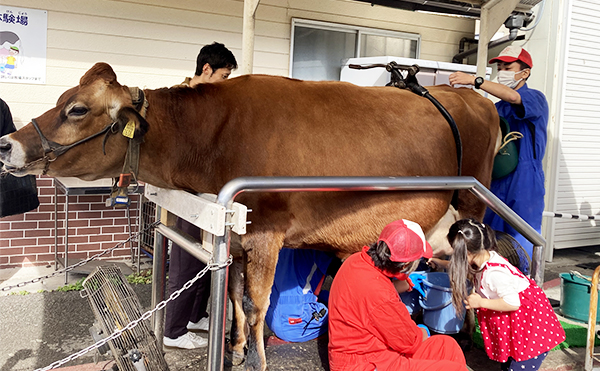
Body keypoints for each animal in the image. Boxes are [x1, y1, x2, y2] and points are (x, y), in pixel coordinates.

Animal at [0, 63, 496, 371]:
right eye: (65, 99)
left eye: (77, 109)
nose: (7, 143)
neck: (211, 137)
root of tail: (469, 95)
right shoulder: (237, 237)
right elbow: (236, 296)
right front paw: (235, 348)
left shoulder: (266, 233)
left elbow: (257, 303)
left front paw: (256, 359)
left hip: (474, 202)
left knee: (473, 266)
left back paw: (470, 336)